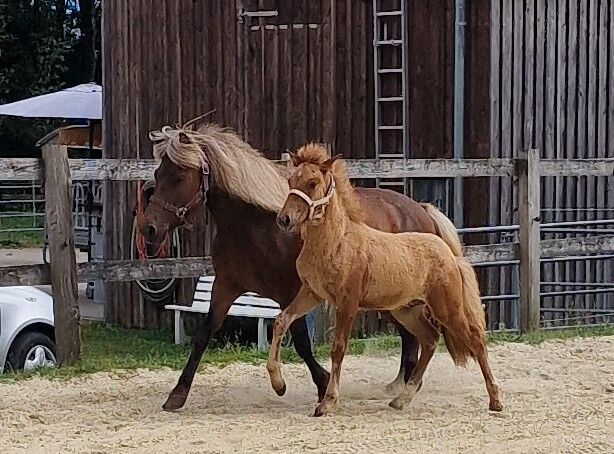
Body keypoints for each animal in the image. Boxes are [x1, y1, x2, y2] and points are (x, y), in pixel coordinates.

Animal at [142, 118, 464, 412]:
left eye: (179, 176)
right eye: (158, 173)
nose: (149, 229)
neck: (256, 225)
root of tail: (420, 209)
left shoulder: (291, 292)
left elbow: (300, 342)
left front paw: (317, 385)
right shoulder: (225, 287)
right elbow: (204, 334)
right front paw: (177, 394)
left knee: (415, 338)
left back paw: (407, 387)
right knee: (411, 338)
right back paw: (403, 387)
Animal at [272, 145, 502, 414]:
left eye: (312, 182)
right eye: (291, 181)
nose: (284, 219)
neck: (337, 242)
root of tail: (449, 253)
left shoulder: (347, 303)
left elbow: (338, 348)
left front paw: (327, 403)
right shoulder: (312, 293)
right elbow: (281, 321)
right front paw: (278, 384)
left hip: (447, 309)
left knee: (475, 339)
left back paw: (495, 400)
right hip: (406, 310)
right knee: (429, 339)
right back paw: (402, 398)